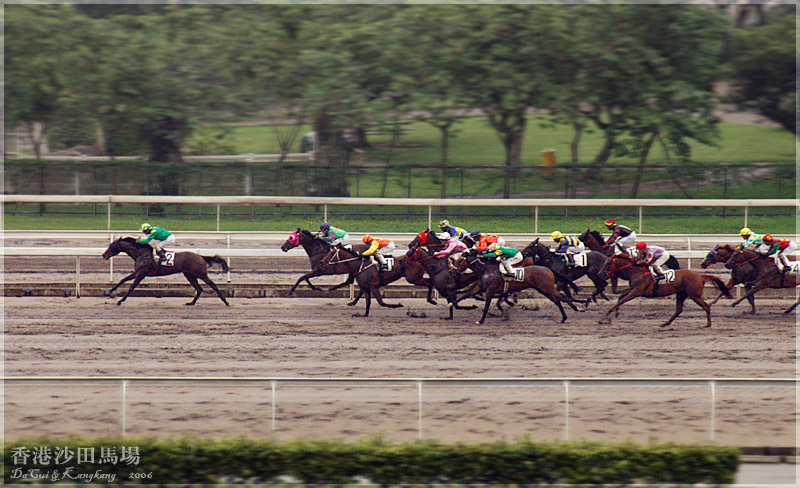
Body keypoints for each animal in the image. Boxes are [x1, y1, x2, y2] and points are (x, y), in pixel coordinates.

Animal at [101, 236, 230, 304]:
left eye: (112, 246)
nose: (104, 255)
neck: (142, 254)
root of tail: (201, 256)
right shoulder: (137, 272)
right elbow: (123, 280)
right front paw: (110, 291)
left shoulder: (142, 273)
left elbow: (132, 286)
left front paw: (120, 300)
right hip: (189, 275)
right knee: (199, 288)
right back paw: (191, 303)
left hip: (200, 274)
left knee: (213, 285)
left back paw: (226, 302)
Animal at [600, 252, 732, 328]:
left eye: (608, 264)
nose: (599, 274)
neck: (636, 271)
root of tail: (700, 276)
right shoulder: (634, 289)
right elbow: (621, 297)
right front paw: (615, 313)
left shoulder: (637, 291)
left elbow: (623, 299)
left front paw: (606, 314)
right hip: (681, 294)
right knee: (678, 310)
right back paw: (665, 323)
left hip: (695, 295)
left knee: (706, 306)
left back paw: (708, 324)